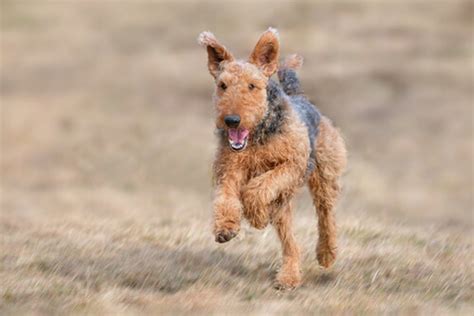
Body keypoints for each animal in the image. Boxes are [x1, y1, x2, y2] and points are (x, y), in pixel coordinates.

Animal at [198, 28, 346, 288]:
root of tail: (300, 96)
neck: (257, 136)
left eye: (252, 85)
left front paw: (256, 216)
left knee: (326, 216)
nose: (232, 121)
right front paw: (226, 227)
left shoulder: (293, 164)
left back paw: (326, 254)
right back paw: (289, 276)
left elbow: (258, 189)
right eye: (222, 85)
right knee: (290, 244)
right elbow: (226, 198)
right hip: (284, 206)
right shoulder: (229, 169)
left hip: (323, 178)